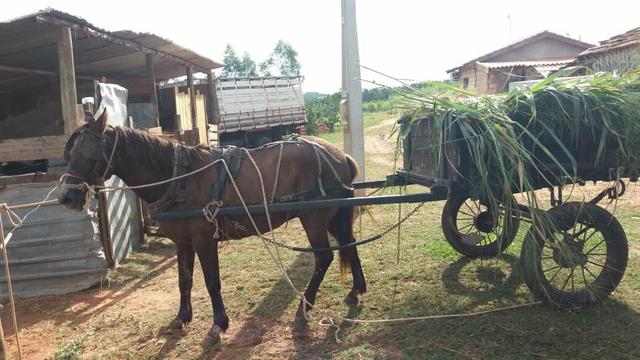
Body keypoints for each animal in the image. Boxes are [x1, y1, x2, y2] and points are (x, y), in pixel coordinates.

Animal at [60, 111, 370, 344]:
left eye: (88, 153)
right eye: (69, 153)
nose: (66, 198)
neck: (180, 177)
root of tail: (339, 155)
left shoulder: (204, 240)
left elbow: (211, 281)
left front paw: (218, 324)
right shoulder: (182, 242)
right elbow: (184, 281)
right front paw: (181, 318)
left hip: (314, 218)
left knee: (324, 257)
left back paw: (303, 309)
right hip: (334, 216)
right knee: (349, 244)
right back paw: (356, 289)